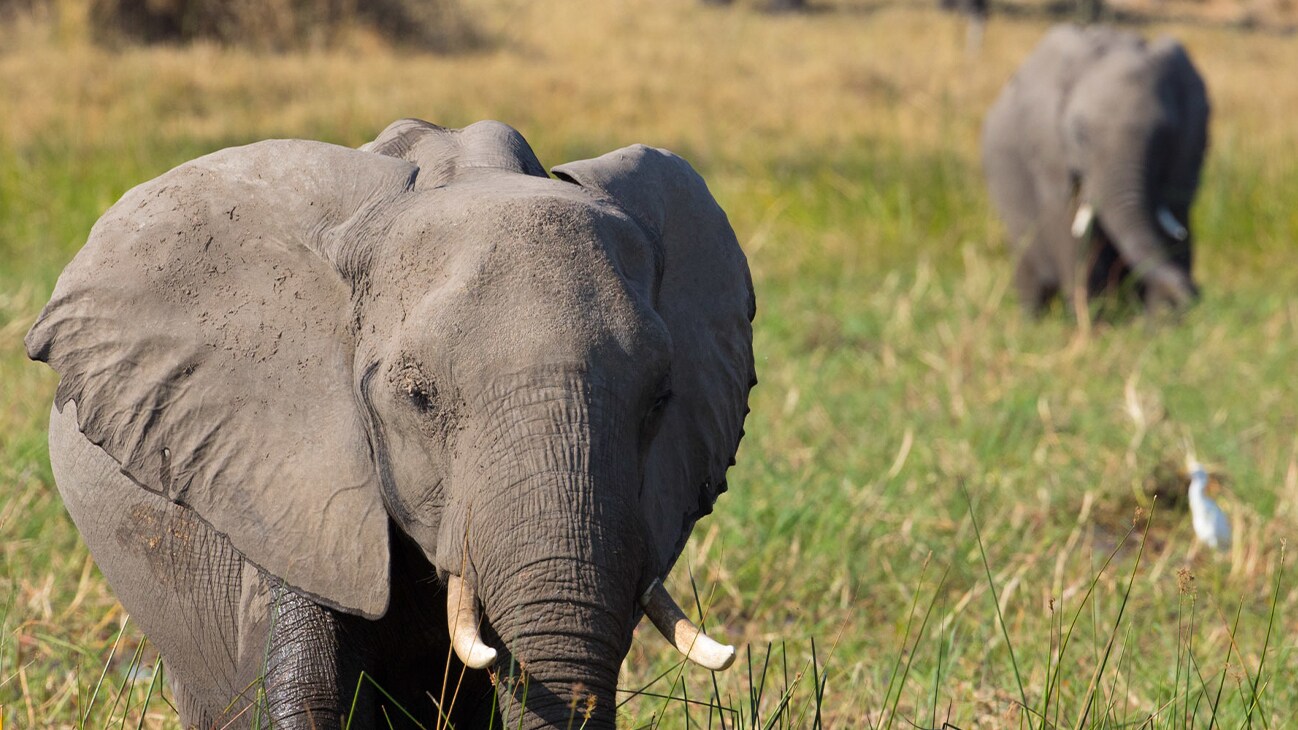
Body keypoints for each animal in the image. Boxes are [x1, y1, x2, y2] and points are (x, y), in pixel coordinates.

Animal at [976, 24, 1209, 313]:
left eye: (1164, 135)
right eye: (1080, 134)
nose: (1196, 290)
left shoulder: (1186, 154)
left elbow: (1174, 218)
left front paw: (1162, 320)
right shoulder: (1050, 149)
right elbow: (1071, 229)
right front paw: (1091, 319)